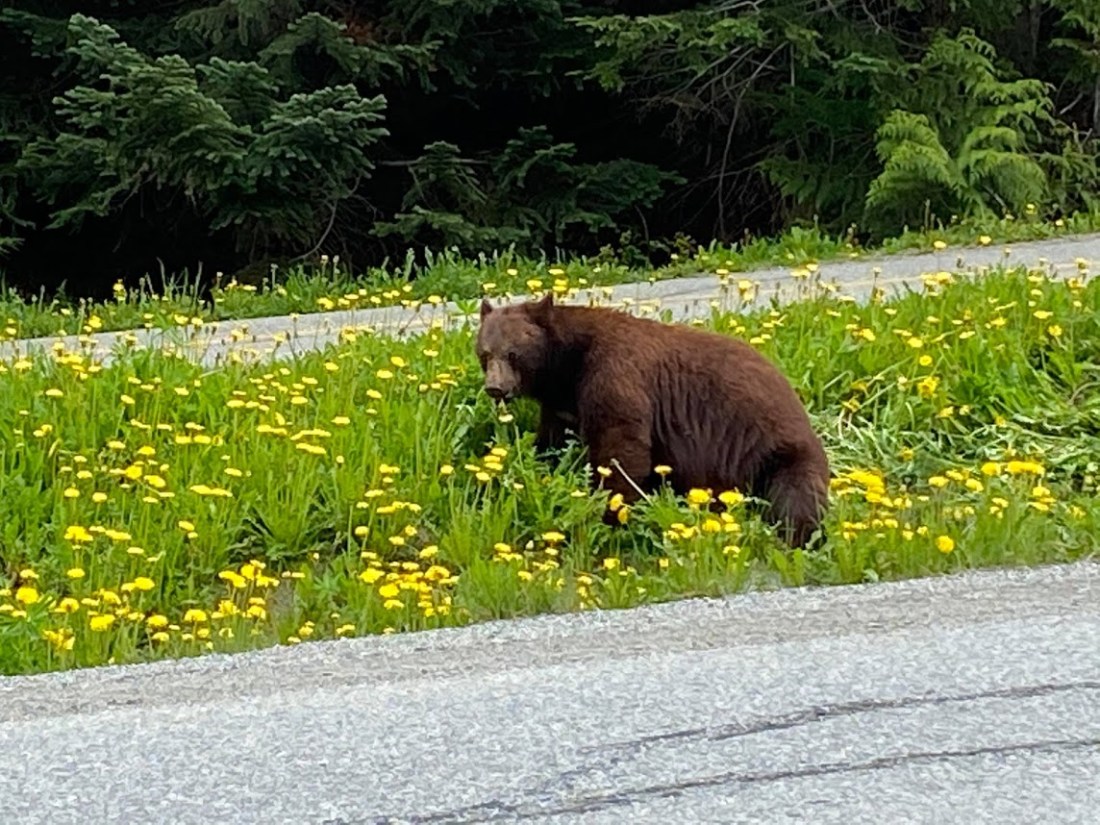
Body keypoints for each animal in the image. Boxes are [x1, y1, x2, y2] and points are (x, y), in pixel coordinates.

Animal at [475, 293, 830, 548]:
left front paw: (611, 517)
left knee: (796, 497)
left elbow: (620, 447)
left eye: (512, 354)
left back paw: (793, 538)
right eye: (484, 353)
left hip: (778, 452)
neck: (567, 365)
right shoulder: (562, 404)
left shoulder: (613, 374)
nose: (495, 387)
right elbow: (552, 442)